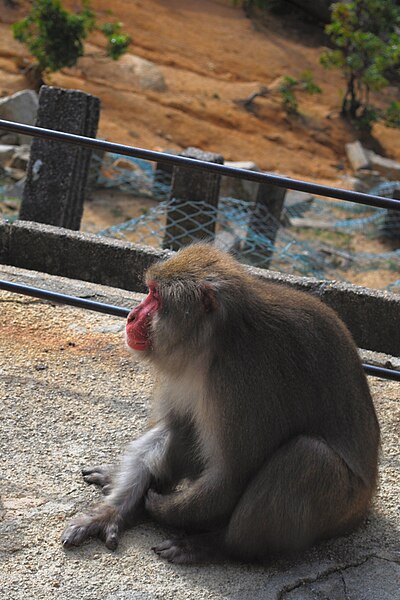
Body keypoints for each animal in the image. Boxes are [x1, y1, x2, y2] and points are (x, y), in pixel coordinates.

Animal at [61, 243, 380, 564]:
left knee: (308, 456)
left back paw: (216, 544)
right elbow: (173, 425)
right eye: (149, 291)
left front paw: (164, 510)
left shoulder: (241, 380)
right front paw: (112, 512)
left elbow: (232, 474)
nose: (131, 316)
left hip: (339, 511)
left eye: (156, 297)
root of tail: (364, 507)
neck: (215, 342)